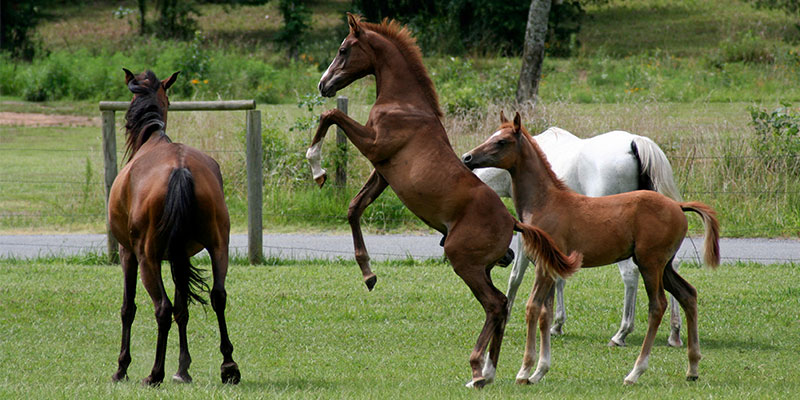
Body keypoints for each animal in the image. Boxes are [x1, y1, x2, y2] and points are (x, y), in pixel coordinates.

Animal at [109, 70, 241, 386]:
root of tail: (180, 168)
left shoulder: (127, 254)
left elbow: (128, 308)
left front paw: (122, 367)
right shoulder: (181, 255)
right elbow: (184, 310)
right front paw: (183, 369)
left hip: (148, 259)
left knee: (162, 308)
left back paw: (154, 373)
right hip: (219, 247)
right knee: (218, 296)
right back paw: (229, 365)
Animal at [306, 15, 580, 388]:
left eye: (343, 49)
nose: (324, 85)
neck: (404, 104)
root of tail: (513, 221)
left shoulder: (375, 145)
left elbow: (331, 116)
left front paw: (316, 166)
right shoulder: (383, 172)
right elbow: (354, 208)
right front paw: (368, 274)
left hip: (462, 261)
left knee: (496, 304)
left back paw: (479, 368)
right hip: (480, 266)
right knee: (502, 305)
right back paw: (489, 372)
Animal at [472, 127, 684, 346]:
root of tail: (635, 142)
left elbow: (515, 277)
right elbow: (559, 277)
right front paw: (556, 323)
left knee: (630, 274)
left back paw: (622, 333)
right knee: (673, 267)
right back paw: (674, 333)